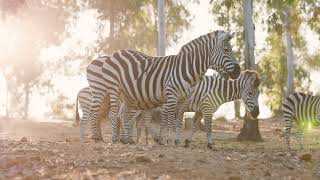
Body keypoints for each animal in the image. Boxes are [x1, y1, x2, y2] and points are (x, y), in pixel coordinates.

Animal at [85, 30, 240, 144]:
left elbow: (178, 120)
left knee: (121, 114)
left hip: (127, 94)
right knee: (104, 112)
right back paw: (102, 138)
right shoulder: (171, 96)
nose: (238, 71)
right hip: (109, 89)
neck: (186, 69)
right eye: (226, 50)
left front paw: (177, 141)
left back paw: (126, 139)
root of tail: (115, 52)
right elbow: (169, 120)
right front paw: (169, 140)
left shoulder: (183, 100)